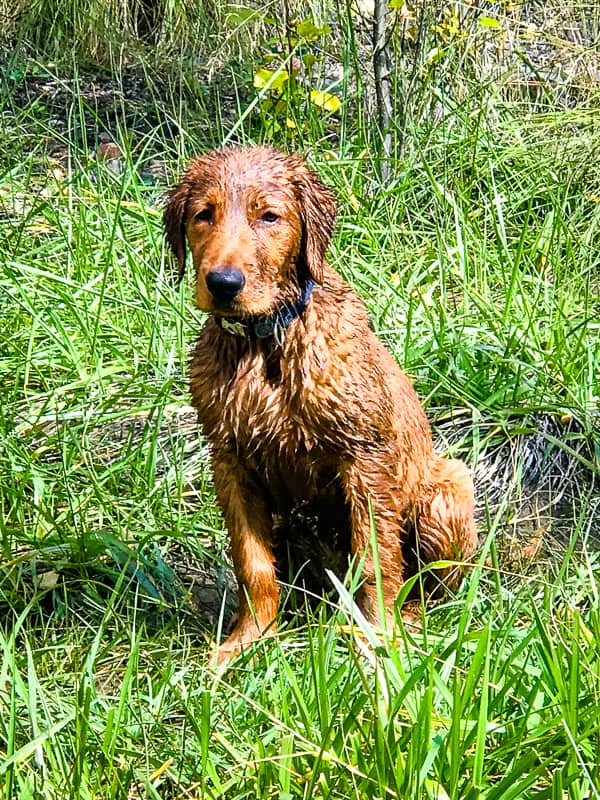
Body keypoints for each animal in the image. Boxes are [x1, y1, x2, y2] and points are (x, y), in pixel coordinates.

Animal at [164, 144, 478, 664]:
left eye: (269, 216)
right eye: (203, 214)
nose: (224, 283)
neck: (266, 340)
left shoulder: (364, 458)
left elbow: (375, 559)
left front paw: (377, 637)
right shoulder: (229, 461)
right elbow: (253, 563)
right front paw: (248, 640)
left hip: (446, 490)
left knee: (433, 589)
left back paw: (411, 620)